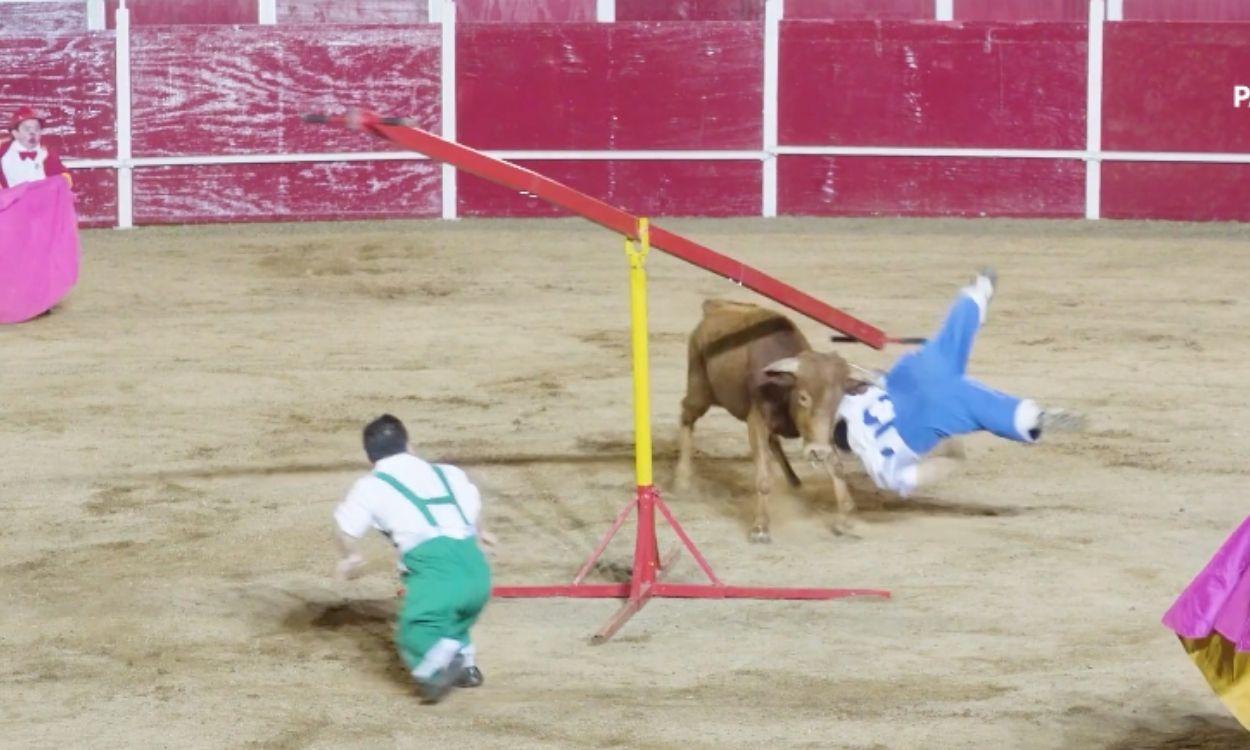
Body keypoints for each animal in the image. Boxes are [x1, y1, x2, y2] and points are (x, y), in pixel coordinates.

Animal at [675, 296, 860, 542]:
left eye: (838, 400)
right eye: (804, 397)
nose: (817, 453)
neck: (784, 389)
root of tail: (713, 308)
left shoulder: (819, 434)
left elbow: (836, 467)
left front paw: (844, 520)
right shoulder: (757, 422)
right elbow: (763, 477)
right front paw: (760, 528)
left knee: (774, 442)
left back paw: (794, 482)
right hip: (700, 391)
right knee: (687, 415)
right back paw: (682, 480)